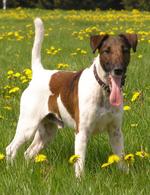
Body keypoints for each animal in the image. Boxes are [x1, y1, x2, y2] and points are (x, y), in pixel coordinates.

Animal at [6, 17, 137, 177]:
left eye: (125, 50)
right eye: (107, 51)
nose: (118, 70)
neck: (102, 89)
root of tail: (39, 73)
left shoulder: (115, 132)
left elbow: (121, 158)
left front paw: (126, 175)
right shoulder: (82, 132)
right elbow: (79, 163)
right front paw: (80, 180)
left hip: (47, 131)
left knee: (28, 153)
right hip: (28, 125)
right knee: (10, 149)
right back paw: (11, 170)